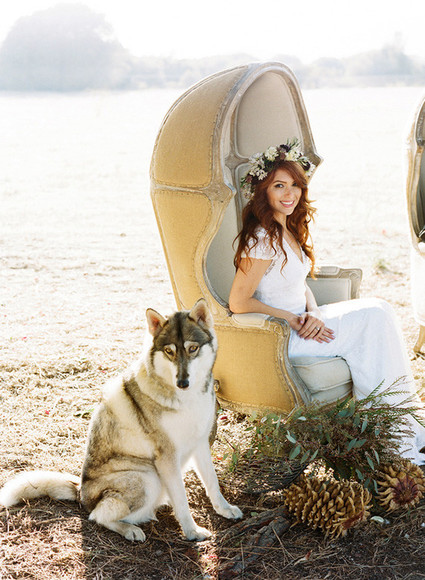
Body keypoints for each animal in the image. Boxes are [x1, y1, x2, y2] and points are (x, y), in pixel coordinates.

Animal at [0, 299, 242, 541]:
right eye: (169, 351)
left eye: (193, 348)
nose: (183, 382)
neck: (186, 398)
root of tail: (81, 492)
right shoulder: (167, 457)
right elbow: (182, 501)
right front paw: (192, 532)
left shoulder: (200, 443)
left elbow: (212, 482)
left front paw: (225, 509)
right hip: (148, 479)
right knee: (97, 516)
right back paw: (130, 530)